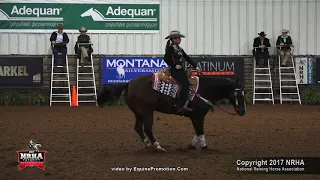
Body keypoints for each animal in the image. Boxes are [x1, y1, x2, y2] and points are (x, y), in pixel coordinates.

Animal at [96, 69, 246, 151]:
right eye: (238, 94)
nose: (242, 112)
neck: (203, 89)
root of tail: (128, 83)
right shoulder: (199, 115)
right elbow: (200, 131)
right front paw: (204, 147)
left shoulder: (195, 116)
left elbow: (197, 132)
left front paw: (192, 146)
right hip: (147, 111)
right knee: (147, 128)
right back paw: (158, 146)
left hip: (138, 112)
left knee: (138, 127)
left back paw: (148, 145)